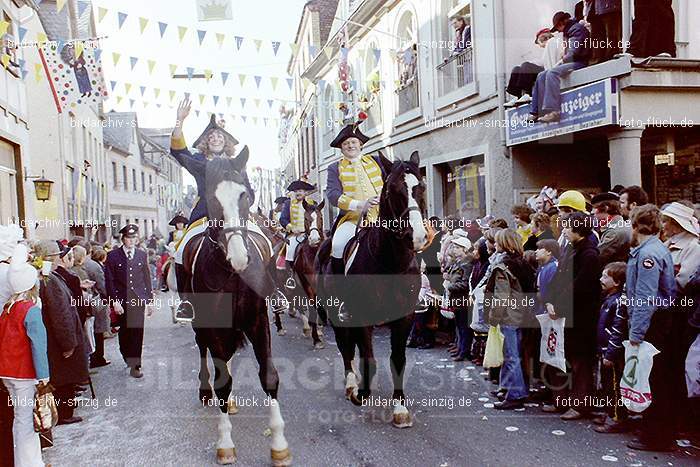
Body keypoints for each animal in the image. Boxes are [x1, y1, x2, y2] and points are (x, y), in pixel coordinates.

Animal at [182, 155, 292, 466]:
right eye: (211, 199)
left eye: (246, 195)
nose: (240, 257)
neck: (232, 275)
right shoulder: (214, 326)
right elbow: (222, 382)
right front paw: (225, 443)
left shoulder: (257, 321)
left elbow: (269, 376)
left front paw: (279, 444)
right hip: (201, 325)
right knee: (205, 351)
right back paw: (206, 390)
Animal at [290, 199, 330, 350]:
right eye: (306, 218)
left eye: (321, 218)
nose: (314, 239)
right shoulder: (306, 284)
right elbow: (312, 307)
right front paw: (316, 339)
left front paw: (319, 329)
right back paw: (307, 327)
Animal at [318, 152, 426, 430]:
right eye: (392, 189)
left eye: (421, 186)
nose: (417, 237)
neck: (390, 263)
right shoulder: (362, 314)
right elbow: (368, 356)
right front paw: (361, 393)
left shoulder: (404, 317)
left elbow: (397, 360)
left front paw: (400, 409)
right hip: (337, 315)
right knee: (345, 348)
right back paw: (351, 384)